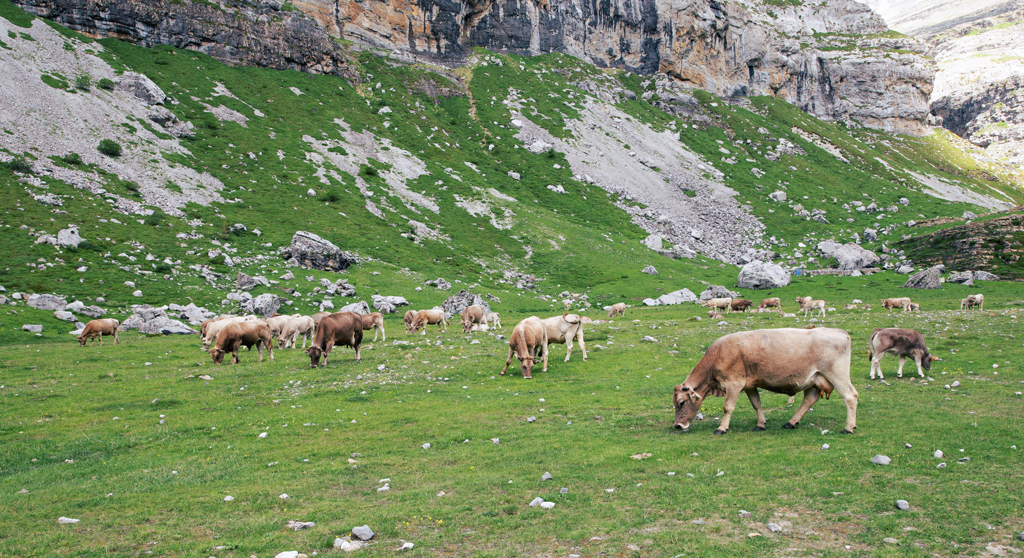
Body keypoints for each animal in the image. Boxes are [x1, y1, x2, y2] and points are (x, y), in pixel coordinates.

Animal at [672, 328, 858, 435]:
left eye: (682, 403)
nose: (677, 426)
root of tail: (840, 332)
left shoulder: (734, 383)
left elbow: (728, 407)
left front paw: (722, 428)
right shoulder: (749, 385)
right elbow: (756, 404)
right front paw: (760, 424)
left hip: (837, 375)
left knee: (850, 397)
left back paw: (848, 427)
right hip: (815, 379)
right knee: (810, 399)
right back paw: (791, 422)